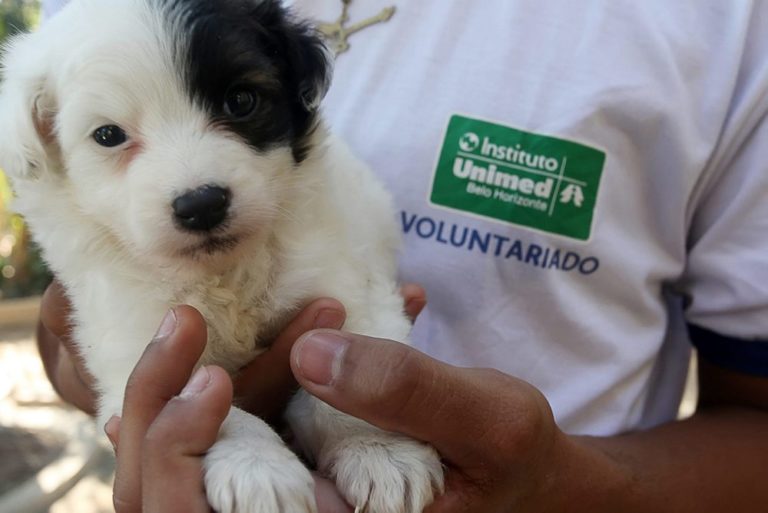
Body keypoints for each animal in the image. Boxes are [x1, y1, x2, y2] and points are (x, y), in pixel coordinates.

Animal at [0, 1, 444, 512]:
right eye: (108, 135)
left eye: (241, 101)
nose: (202, 204)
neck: (224, 274)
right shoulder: (136, 343)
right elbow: (214, 403)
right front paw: (258, 469)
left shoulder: (348, 284)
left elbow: (350, 378)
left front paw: (381, 452)